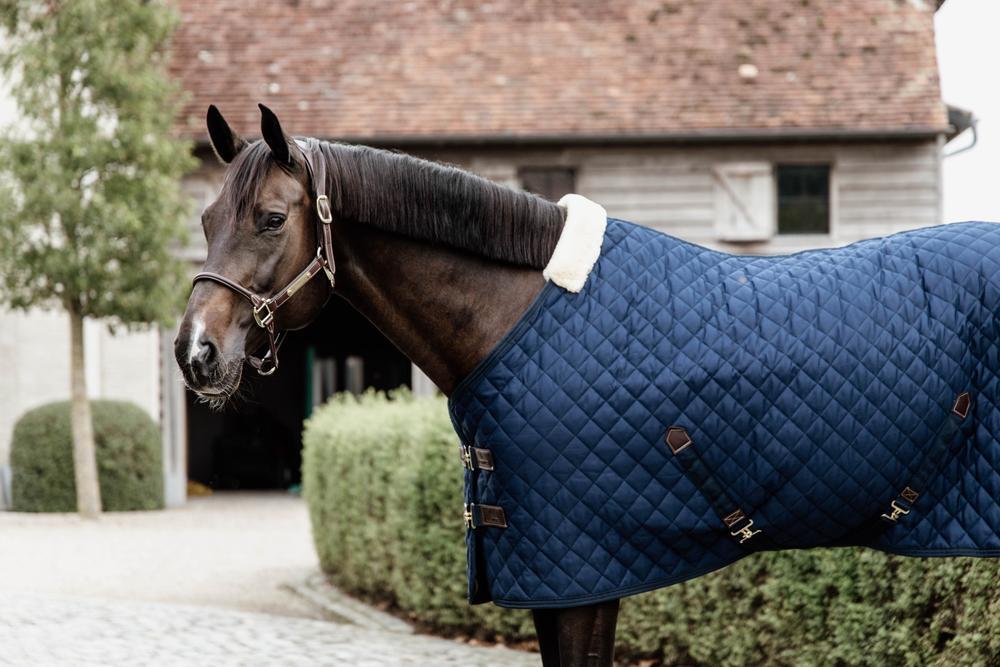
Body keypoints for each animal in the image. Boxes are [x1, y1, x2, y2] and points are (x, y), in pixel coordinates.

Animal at [176, 105, 1000, 666]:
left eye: (271, 217)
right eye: (207, 217)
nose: (196, 351)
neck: (517, 314)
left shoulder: (583, 568)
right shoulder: (557, 574)